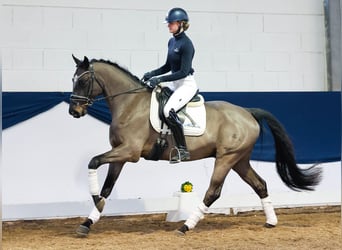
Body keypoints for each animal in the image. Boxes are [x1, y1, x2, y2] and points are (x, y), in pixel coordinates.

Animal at [69, 54, 320, 236]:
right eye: (73, 80)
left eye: (83, 80)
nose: (74, 111)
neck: (130, 104)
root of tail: (247, 112)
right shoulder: (119, 154)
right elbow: (107, 187)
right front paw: (89, 221)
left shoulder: (129, 152)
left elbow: (93, 162)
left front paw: (95, 202)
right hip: (240, 159)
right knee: (260, 184)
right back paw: (271, 222)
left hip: (226, 158)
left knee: (213, 192)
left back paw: (185, 226)